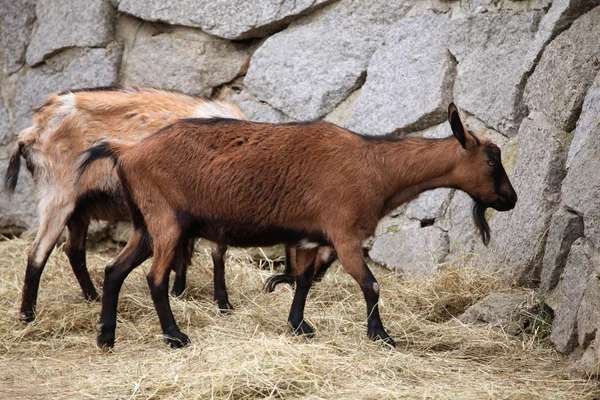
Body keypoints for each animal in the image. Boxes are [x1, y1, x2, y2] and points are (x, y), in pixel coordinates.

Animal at [3, 86, 247, 322]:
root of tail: (34, 129)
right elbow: (215, 253)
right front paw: (222, 303)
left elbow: (187, 251)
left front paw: (179, 292)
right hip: (58, 198)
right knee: (37, 253)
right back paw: (27, 316)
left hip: (79, 209)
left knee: (74, 250)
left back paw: (93, 298)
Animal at [78, 104, 516, 350]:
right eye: (492, 160)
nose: (511, 200)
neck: (377, 167)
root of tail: (127, 152)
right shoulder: (345, 235)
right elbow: (371, 284)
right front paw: (382, 337)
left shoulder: (311, 239)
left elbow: (304, 281)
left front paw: (299, 326)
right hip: (167, 222)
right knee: (154, 278)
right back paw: (175, 337)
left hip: (146, 226)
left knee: (114, 270)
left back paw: (106, 337)